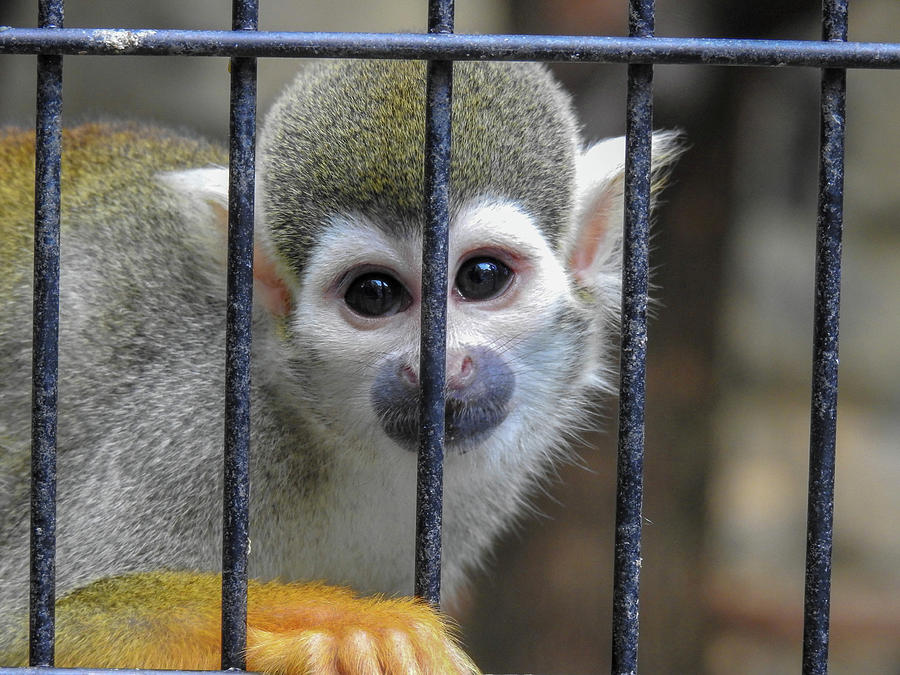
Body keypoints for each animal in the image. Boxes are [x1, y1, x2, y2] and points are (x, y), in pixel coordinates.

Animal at [0, 60, 676, 672]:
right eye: (373, 294)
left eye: (481, 278)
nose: (437, 367)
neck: (340, 443)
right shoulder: (191, 431)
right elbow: (34, 634)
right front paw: (348, 626)